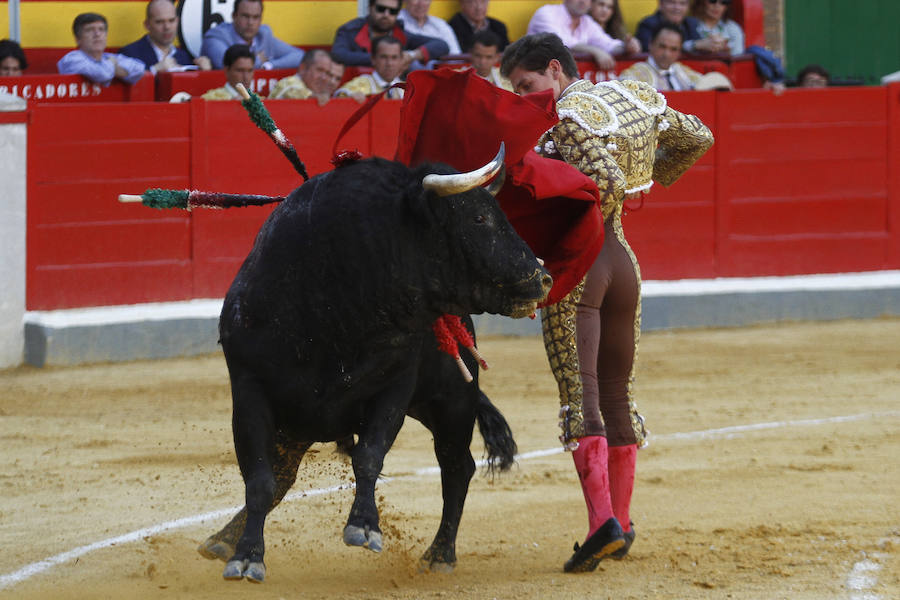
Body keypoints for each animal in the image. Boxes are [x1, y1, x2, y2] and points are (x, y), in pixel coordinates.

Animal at [198, 155, 552, 580]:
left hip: (452, 400)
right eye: (479, 217)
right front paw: (247, 556)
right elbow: (260, 480)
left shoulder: (394, 387)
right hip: (304, 422)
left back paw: (440, 553)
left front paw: (364, 527)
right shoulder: (250, 390)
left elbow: (369, 456)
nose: (543, 278)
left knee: (457, 465)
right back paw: (223, 537)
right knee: (283, 477)